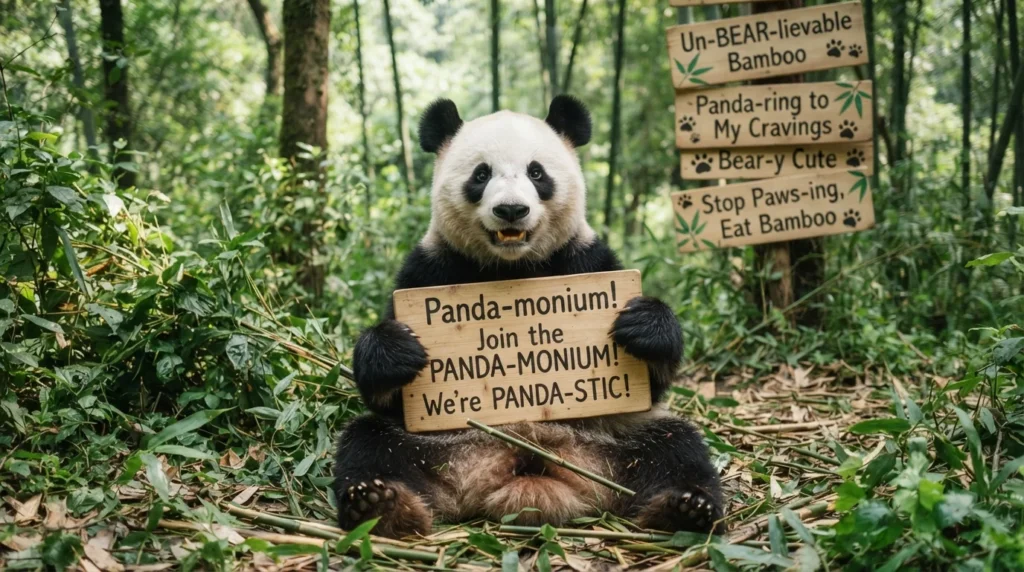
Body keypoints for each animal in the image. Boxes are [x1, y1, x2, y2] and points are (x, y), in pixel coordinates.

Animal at [333, 96, 723, 538]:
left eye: (537, 172)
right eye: (481, 174)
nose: (511, 210)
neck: (512, 268)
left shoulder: (586, 258)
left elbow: (652, 385)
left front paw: (642, 326)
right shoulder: (429, 269)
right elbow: (386, 396)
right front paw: (397, 350)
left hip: (616, 442)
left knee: (677, 446)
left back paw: (685, 509)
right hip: (438, 447)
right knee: (370, 441)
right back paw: (381, 504)